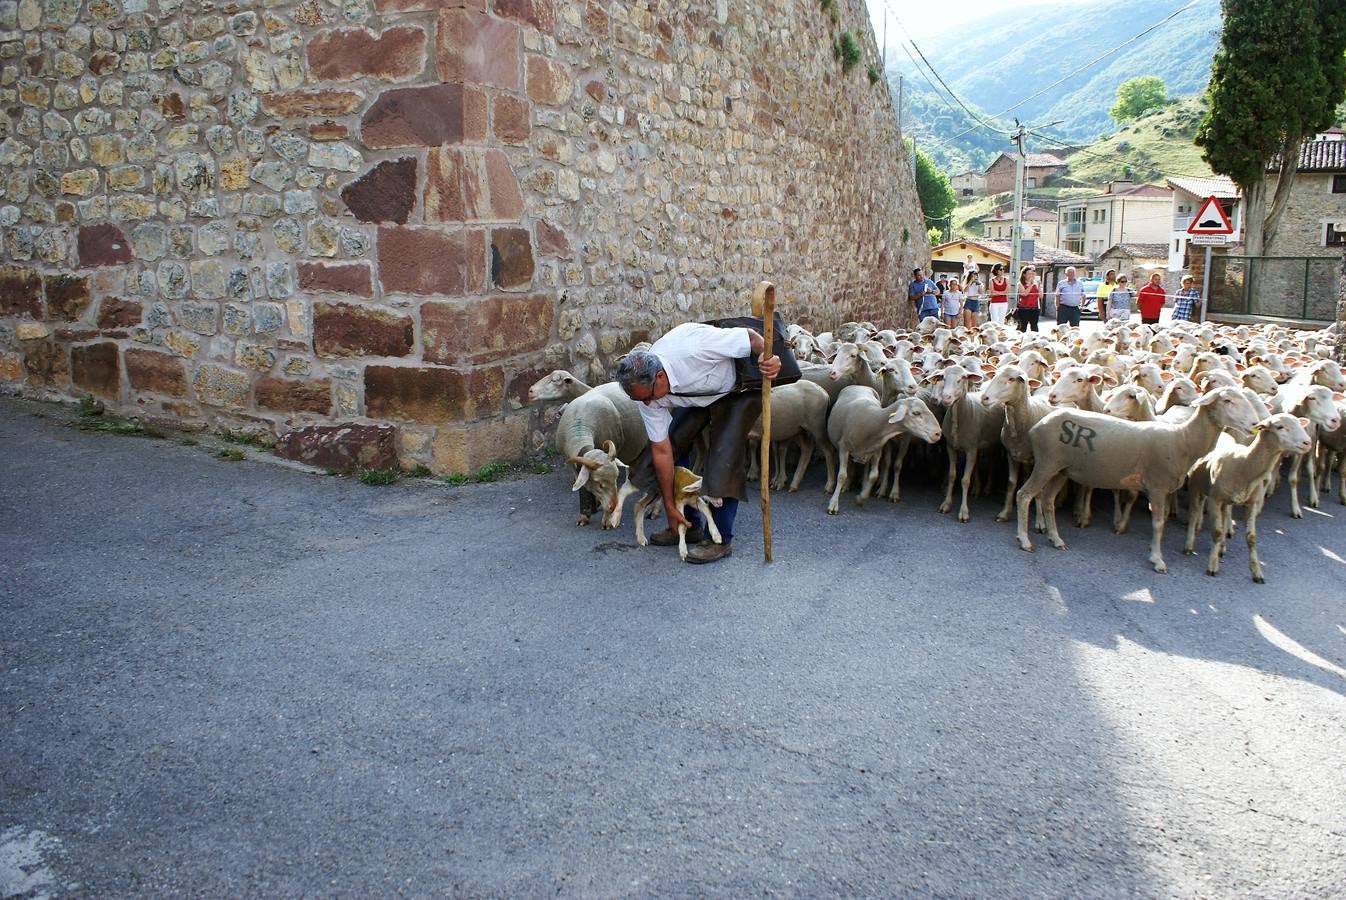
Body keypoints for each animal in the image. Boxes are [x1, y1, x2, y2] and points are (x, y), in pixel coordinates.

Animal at [557, 382, 651, 530]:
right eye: (599, 484)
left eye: (615, 479)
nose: (613, 506)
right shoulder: (574, 465)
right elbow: (583, 487)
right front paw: (585, 515)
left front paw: (607, 520)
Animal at [1012, 384, 1265, 567]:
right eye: (1227, 400)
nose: (1255, 423)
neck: (1183, 440)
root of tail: (1039, 425)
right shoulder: (1157, 486)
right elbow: (1158, 523)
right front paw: (1157, 559)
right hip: (1046, 463)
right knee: (1024, 495)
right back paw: (1025, 540)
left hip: (1061, 470)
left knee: (1047, 501)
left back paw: (1056, 539)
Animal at [1184, 414, 1308, 583]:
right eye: (1280, 427)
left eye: (1300, 424)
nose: (1308, 442)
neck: (1244, 463)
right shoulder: (1214, 499)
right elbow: (1216, 531)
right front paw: (1212, 566)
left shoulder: (1251, 503)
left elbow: (1251, 537)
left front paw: (1257, 572)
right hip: (1197, 487)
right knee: (1194, 513)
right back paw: (1189, 545)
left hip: (1225, 499)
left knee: (1225, 515)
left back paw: (1222, 547)